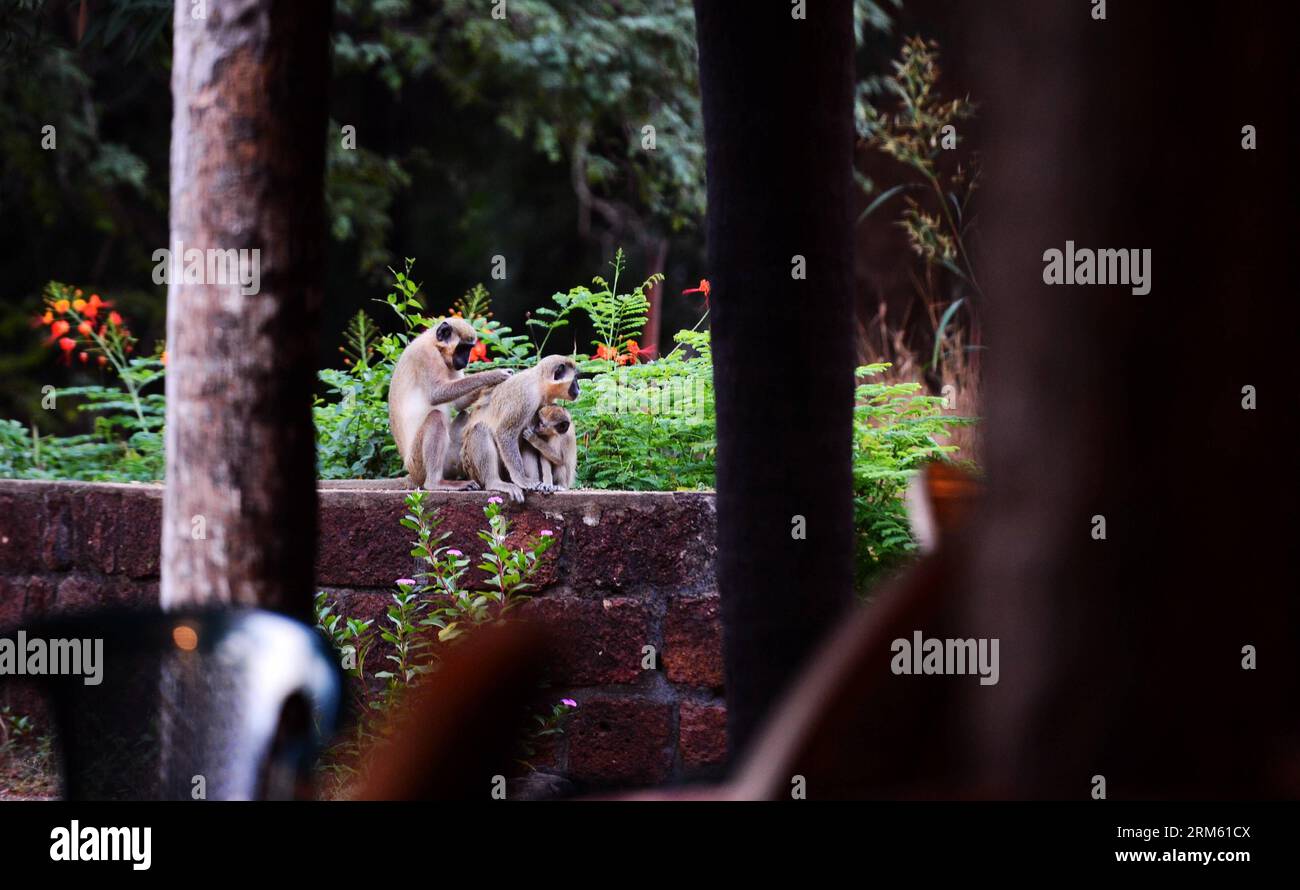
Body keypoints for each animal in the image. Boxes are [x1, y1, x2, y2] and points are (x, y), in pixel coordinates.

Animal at [384, 317, 506, 488]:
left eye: (469, 349)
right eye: (462, 348)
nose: (466, 360)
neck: (434, 343)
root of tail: (411, 474)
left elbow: (459, 403)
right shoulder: (426, 354)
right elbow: (437, 394)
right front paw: (494, 375)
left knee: (463, 414)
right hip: (417, 464)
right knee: (436, 417)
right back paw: (435, 483)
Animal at [457, 353, 579, 498]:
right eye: (575, 379)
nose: (578, 389)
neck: (538, 383)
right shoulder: (526, 398)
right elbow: (504, 433)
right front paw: (521, 479)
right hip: (471, 467)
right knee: (480, 429)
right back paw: (494, 482)